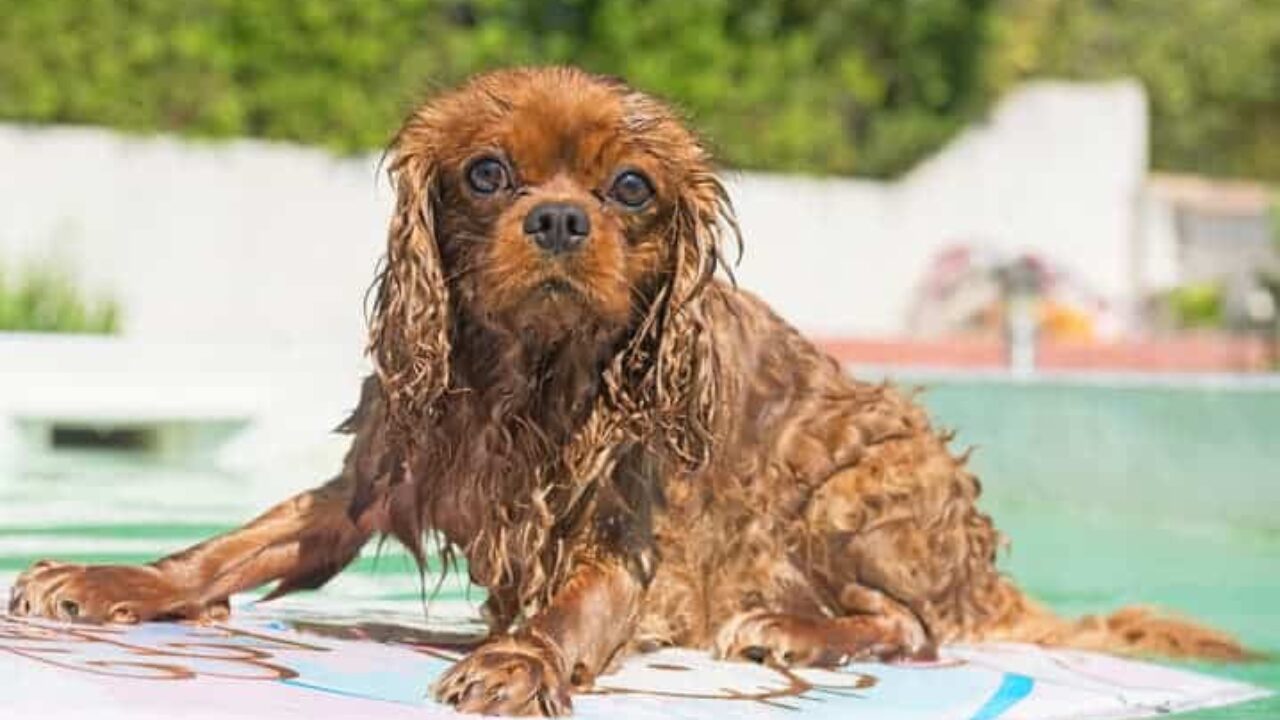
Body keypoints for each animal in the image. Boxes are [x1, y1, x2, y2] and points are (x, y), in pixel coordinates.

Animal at [7, 65, 1249, 712]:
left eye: (631, 188)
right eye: (487, 174)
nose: (560, 218)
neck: (530, 379)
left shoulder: (626, 537)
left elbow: (570, 611)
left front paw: (515, 659)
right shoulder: (375, 479)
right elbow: (230, 547)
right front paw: (111, 580)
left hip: (863, 469)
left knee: (917, 626)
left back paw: (790, 629)